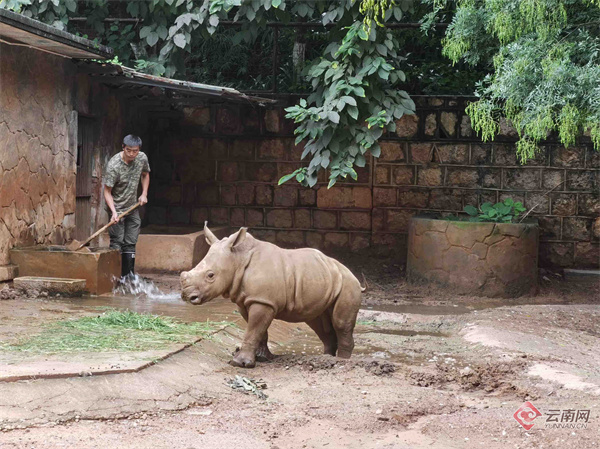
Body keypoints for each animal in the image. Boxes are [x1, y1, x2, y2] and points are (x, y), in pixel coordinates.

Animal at [180, 224, 364, 368]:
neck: (238, 259)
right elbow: (259, 331)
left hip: (348, 284)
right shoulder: (248, 300)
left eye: (210, 275)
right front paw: (261, 358)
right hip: (323, 277)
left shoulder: (263, 301)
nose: (187, 296)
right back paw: (326, 358)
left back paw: (342, 362)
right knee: (318, 323)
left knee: (340, 323)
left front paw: (239, 363)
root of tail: (351, 273)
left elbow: (253, 329)